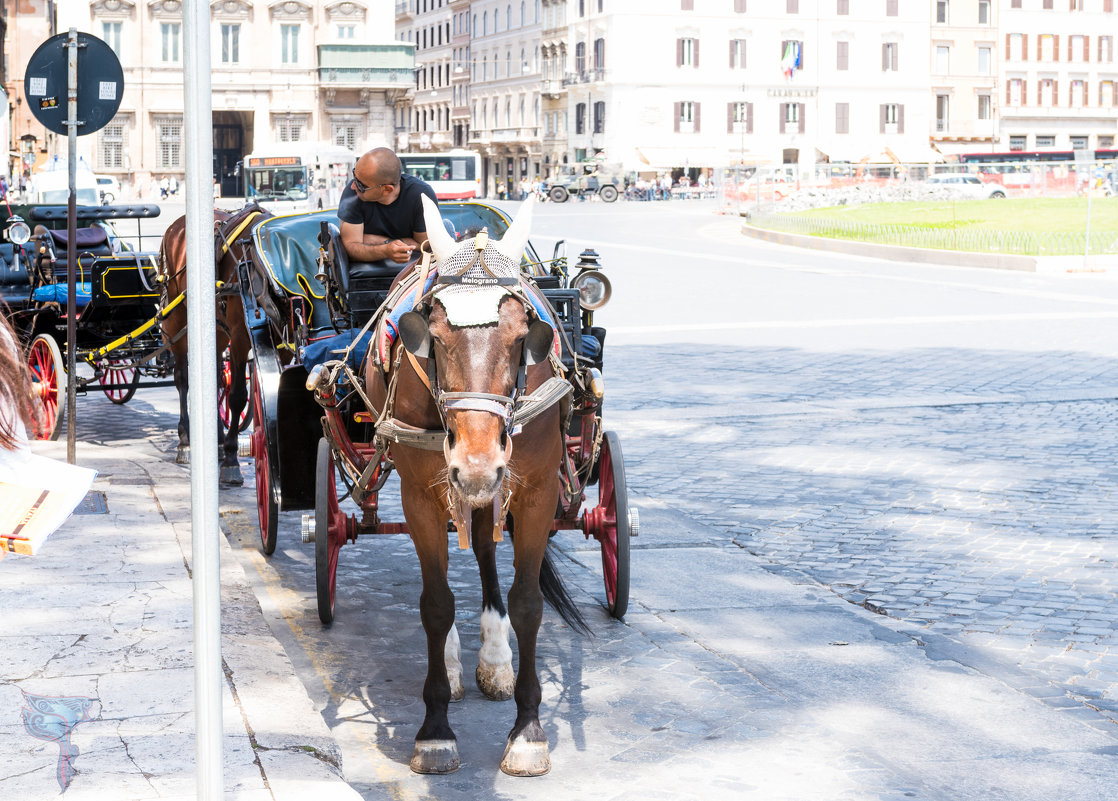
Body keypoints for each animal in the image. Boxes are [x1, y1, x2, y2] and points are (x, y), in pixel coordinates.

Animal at [157, 203, 266, 485]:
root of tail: (175, 225)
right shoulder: (240, 336)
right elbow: (238, 396)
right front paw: (231, 460)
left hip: (216, 328)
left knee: (215, 380)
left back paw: (214, 438)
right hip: (177, 320)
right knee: (183, 378)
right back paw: (186, 440)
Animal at [371, 195, 590, 774]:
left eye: (520, 338)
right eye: (435, 336)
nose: (475, 464)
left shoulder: (535, 491)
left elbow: (528, 603)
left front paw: (528, 731)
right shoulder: (421, 494)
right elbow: (436, 603)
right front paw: (435, 731)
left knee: (489, 551)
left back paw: (494, 657)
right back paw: (451, 665)